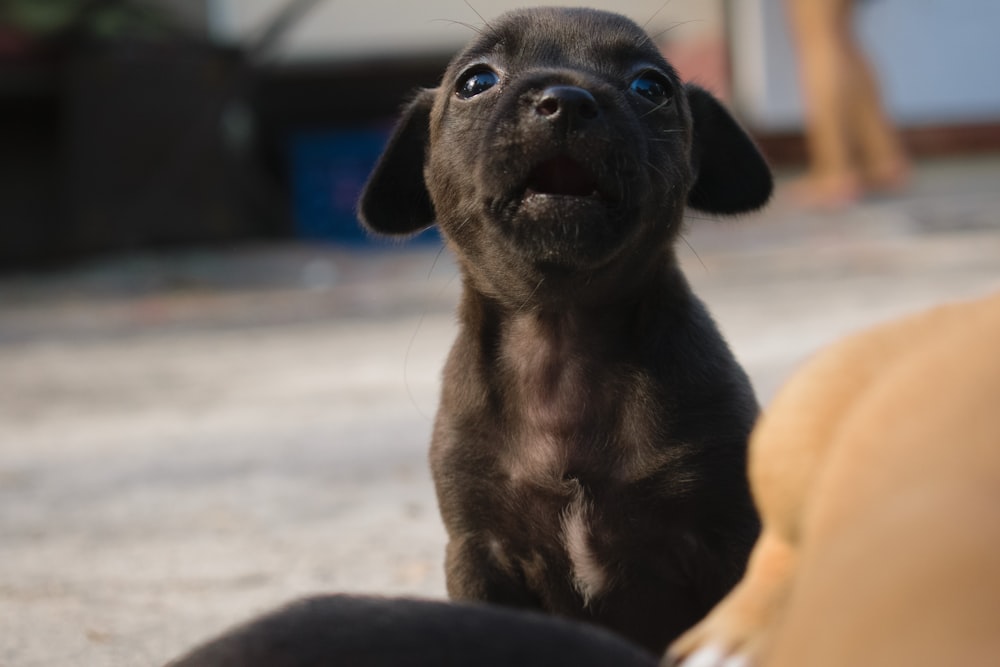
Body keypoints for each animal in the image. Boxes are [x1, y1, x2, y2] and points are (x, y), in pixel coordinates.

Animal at [360, 5, 772, 652]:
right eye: (476, 81)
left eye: (651, 87)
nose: (568, 100)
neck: (560, 334)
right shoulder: (479, 555)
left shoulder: (731, 538)